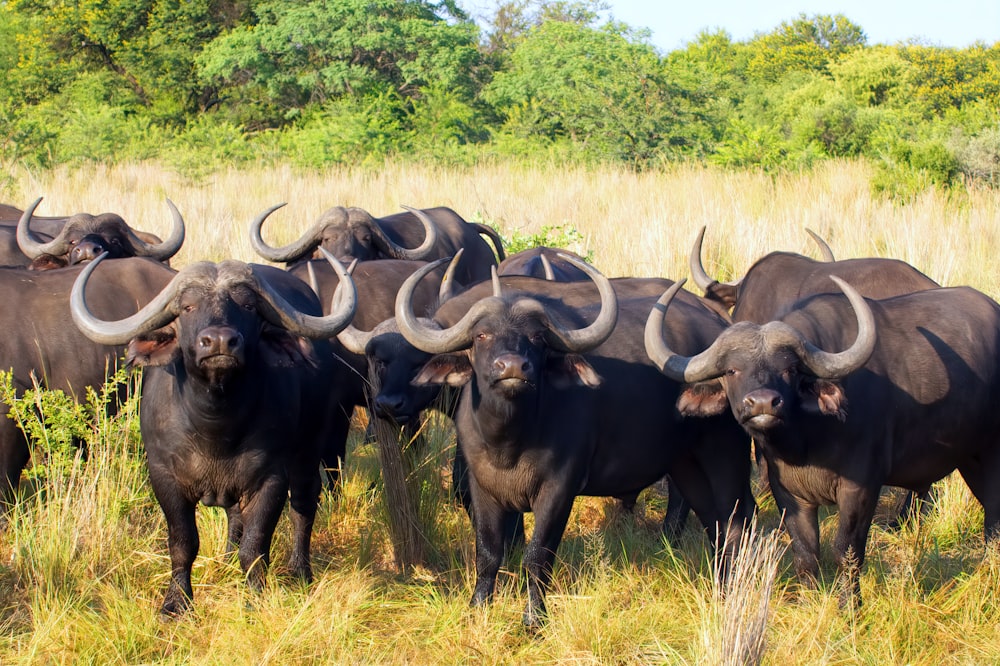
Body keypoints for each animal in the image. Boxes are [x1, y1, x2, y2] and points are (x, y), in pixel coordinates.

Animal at [71, 252, 360, 616]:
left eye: (248, 305)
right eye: (187, 307)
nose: (220, 342)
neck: (216, 430)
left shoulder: (271, 479)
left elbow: (255, 545)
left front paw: (254, 598)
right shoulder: (164, 477)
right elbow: (183, 542)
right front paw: (176, 603)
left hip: (311, 447)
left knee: (304, 504)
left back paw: (300, 570)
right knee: (234, 516)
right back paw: (225, 561)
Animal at [396, 255, 752, 628]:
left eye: (537, 337)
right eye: (481, 335)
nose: (512, 367)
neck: (508, 442)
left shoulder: (558, 490)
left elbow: (537, 555)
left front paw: (533, 620)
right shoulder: (482, 489)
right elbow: (488, 552)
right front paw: (478, 607)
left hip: (726, 455)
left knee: (737, 522)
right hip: (686, 465)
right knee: (712, 522)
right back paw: (718, 586)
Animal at [644, 278, 1000, 604]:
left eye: (789, 369)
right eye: (732, 370)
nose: (763, 403)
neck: (807, 443)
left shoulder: (861, 488)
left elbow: (847, 551)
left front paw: (850, 607)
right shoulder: (788, 492)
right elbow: (805, 552)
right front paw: (809, 600)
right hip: (970, 460)